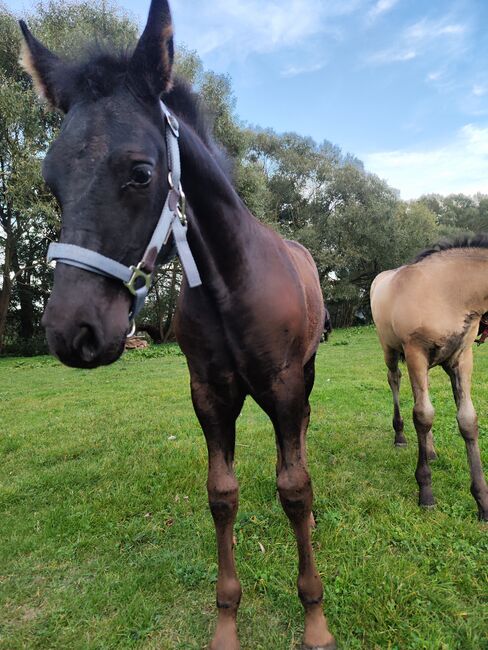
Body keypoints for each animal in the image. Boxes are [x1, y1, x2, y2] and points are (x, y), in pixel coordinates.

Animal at [21, 2, 338, 644]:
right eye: (50, 180)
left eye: (142, 173)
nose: (72, 331)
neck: (229, 283)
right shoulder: (209, 395)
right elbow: (221, 495)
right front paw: (226, 624)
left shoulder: (285, 385)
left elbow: (294, 489)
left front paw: (315, 620)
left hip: (307, 371)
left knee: (302, 439)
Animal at [372, 235, 486, 520]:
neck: (449, 294)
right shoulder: (415, 352)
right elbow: (422, 416)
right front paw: (426, 493)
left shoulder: (462, 358)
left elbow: (467, 420)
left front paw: (482, 501)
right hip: (390, 350)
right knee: (395, 379)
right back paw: (400, 436)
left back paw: (431, 450)